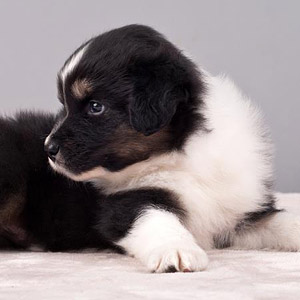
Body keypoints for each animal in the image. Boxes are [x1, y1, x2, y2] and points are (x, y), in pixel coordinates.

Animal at [42, 24, 300, 272]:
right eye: (64, 106)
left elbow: (280, 221)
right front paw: (176, 250)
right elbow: (155, 218)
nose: (48, 148)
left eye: (96, 107)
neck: (184, 155)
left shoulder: (241, 210)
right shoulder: (127, 201)